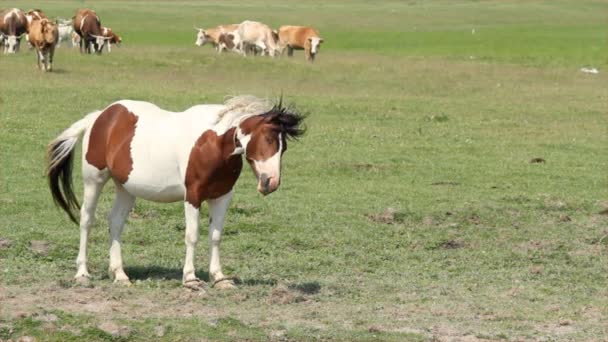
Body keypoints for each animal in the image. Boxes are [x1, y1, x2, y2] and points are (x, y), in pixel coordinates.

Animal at [48, 96, 306, 292]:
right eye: (269, 139)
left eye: (284, 147)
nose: (270, 182)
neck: (214, 144)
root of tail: (101, 116)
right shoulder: (193, 196)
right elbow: (192, 236)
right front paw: (190, 278)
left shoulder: (222, 197)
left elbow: (216, 236)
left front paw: (219, 278)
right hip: (94, 180)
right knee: (86, 220)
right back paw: (82, 273)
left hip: (126, 188)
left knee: (115, 223)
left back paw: (120, 274)